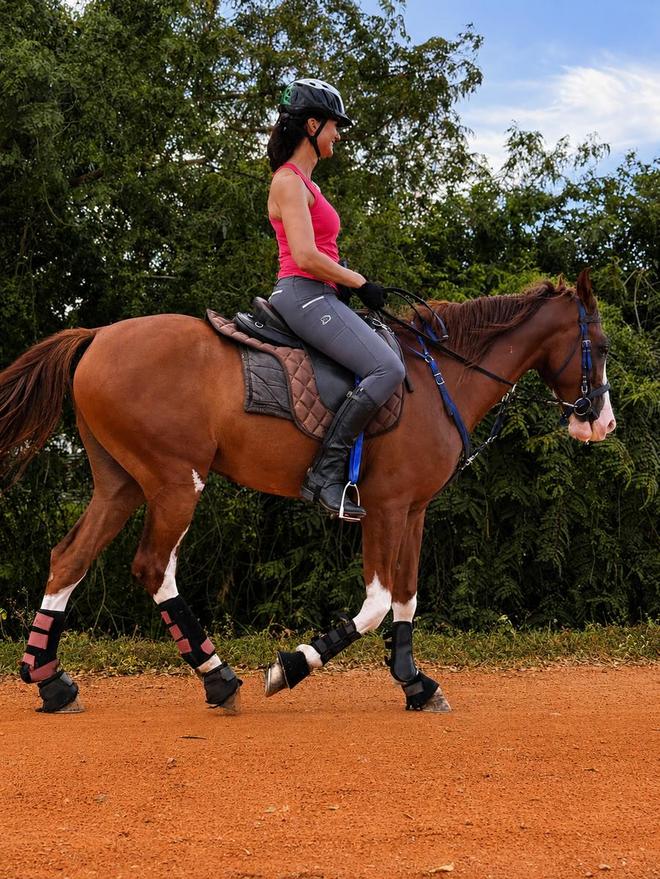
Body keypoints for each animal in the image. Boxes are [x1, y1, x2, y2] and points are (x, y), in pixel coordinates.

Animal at [0, 270, 615, 714]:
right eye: (602, 346)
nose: (602, 423)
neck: (440, 377)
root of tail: (98, 335)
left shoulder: (413, 510)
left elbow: (407, 597)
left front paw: (414, 683)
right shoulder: (384, 508)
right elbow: (376, 604)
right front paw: (292, 665)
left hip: (121, 484)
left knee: (69, 558)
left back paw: (51, 682)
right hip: (176, 482)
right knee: (154, 568)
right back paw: (218, 678)